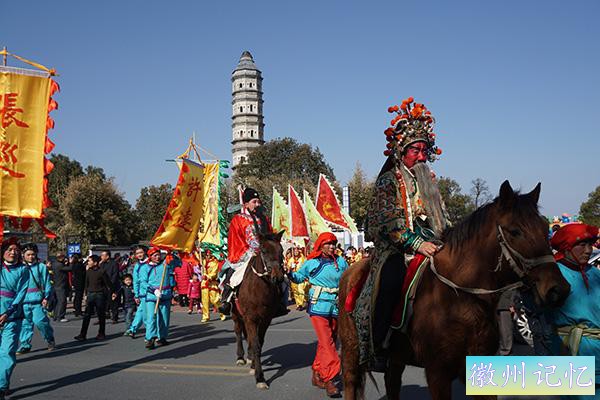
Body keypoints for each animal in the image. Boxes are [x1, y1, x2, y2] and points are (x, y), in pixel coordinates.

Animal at [231, 230, 284, 390]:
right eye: (264, 251)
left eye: (281, 251)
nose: (278, 277)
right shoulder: (251, 318)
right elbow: (255, 345)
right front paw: (260, 377)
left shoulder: (266, 319)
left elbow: (258, 343)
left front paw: (254, 366)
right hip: (236, 315)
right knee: (238, 332)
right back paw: (241, 357)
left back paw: (249, 358)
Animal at [340, 182, 568, 400]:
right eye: (515, 231)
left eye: (545, 228)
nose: (558, 290)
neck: (460, 299)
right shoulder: (437, 373)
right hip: (352, 352)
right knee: (351, 384)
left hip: (396, 356)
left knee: (392, 382)